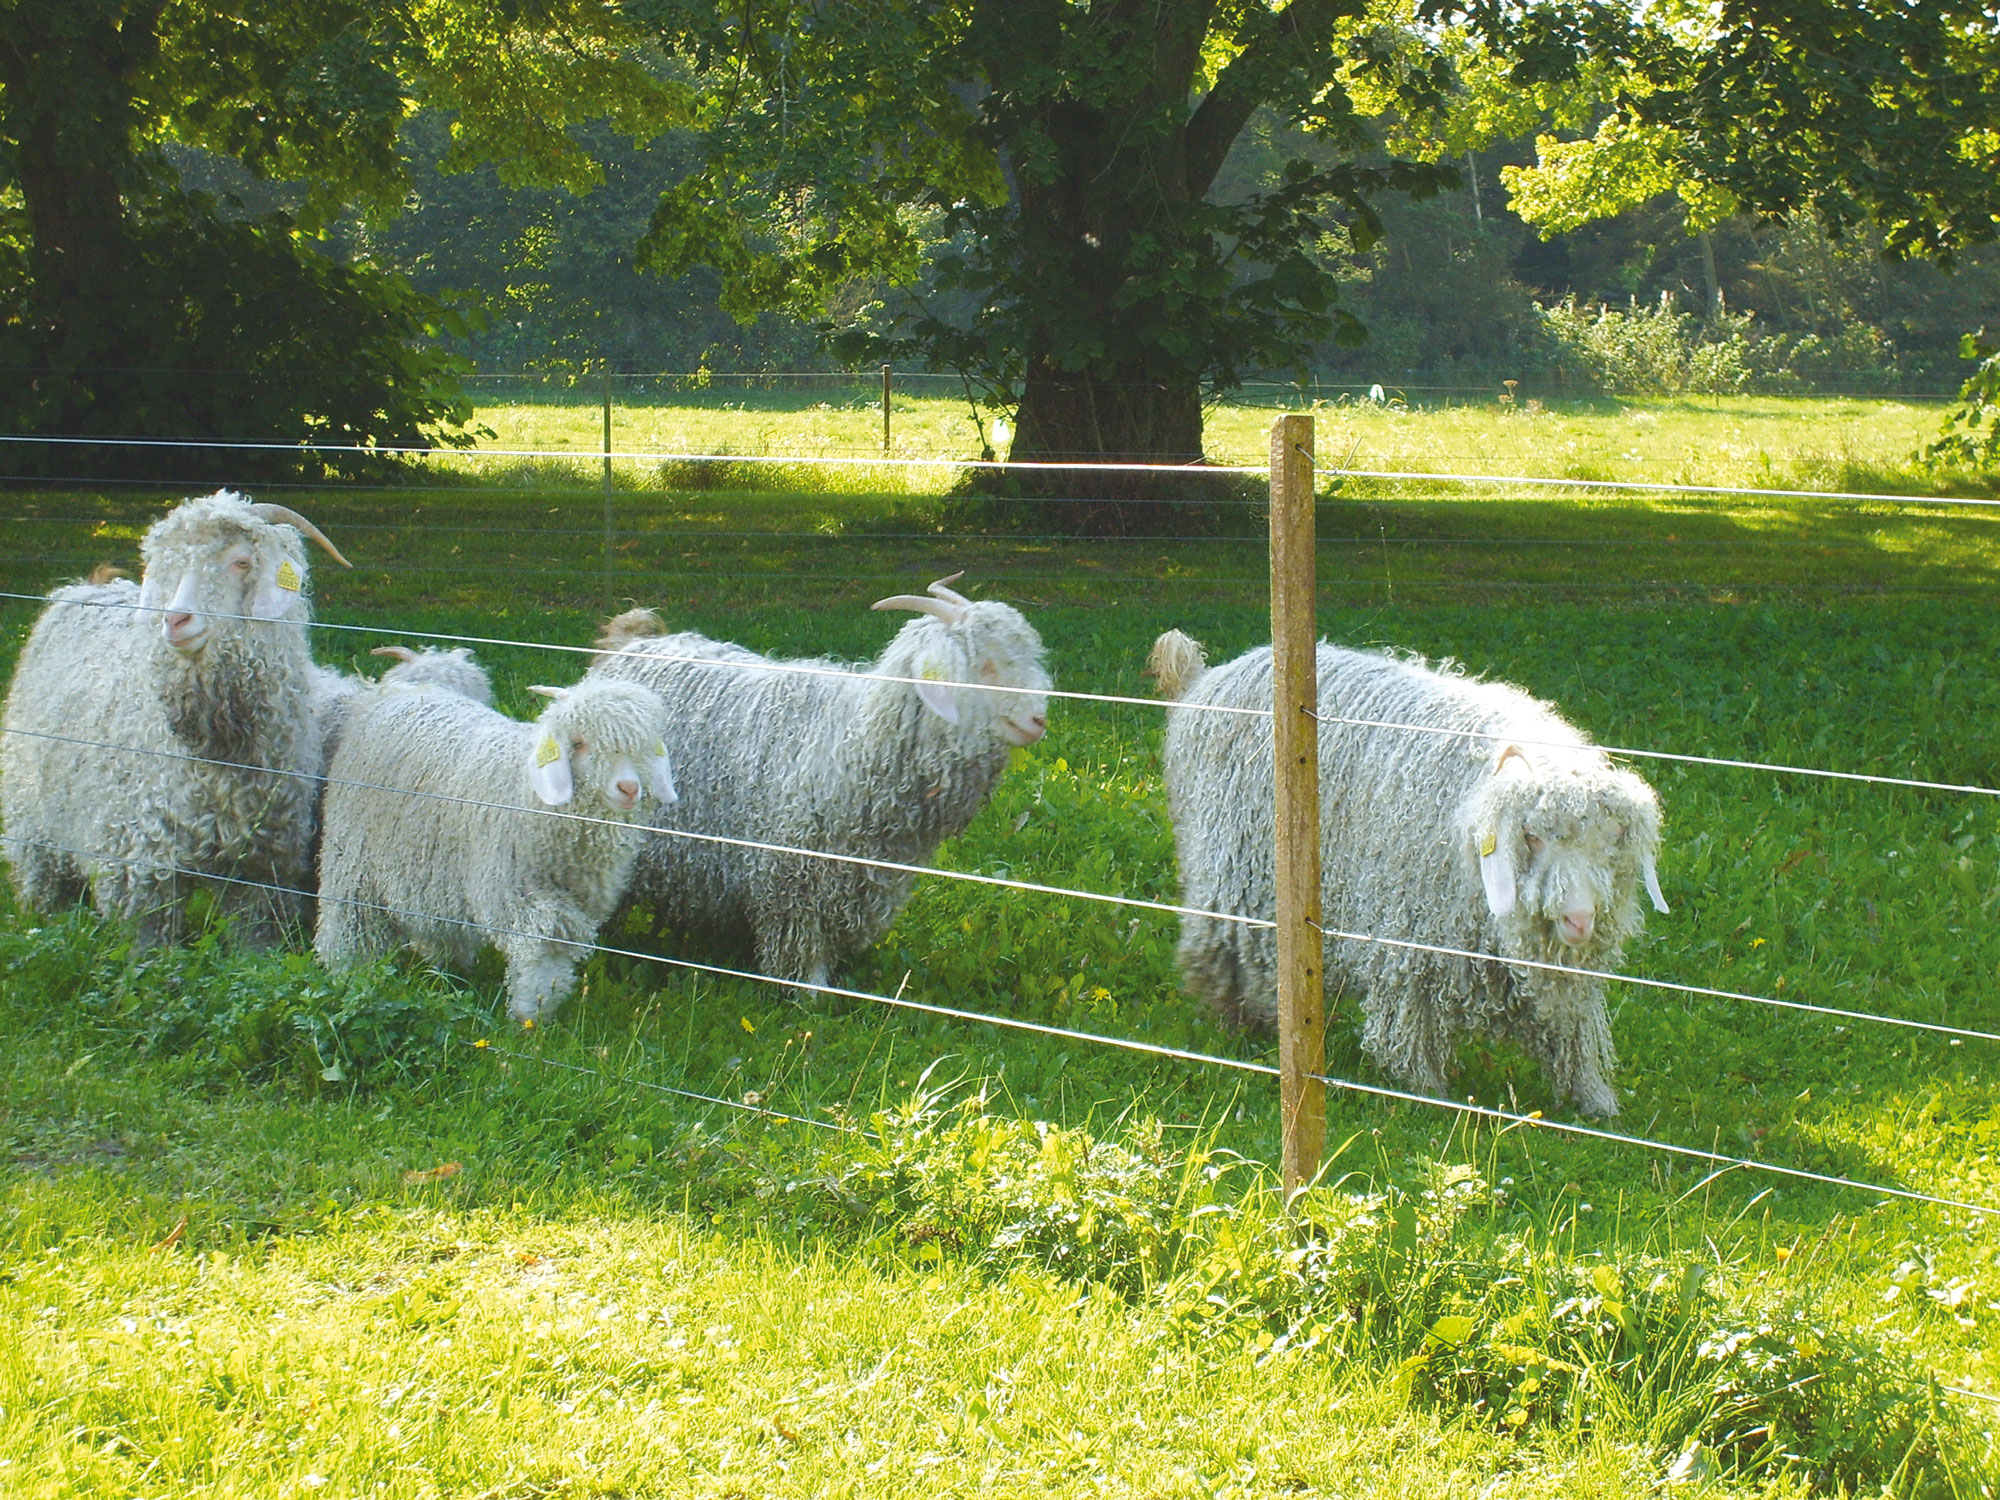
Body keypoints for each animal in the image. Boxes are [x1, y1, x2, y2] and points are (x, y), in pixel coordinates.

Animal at [316, 680, 680, 1024]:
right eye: (578, 743)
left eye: (646, 747)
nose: (628, 788)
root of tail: (386, 693)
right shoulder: (514, 893)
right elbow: (538, 947)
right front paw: (528, 1018)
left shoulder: (576, 902)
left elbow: (558, 950)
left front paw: (542, 1013)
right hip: (353, 856)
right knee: (350, 917)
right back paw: (347, 971)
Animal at [584, 580, 1056, 992]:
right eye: (985, 665)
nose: (1039, 720)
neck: (858, 744)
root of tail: (626, 645)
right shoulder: (794, 875)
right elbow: (800, 946)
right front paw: (810, 992)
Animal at [1152, 632, 1664, 1120]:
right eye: (1533, 837)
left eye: (1611, 840)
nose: (1579, 920)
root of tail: (1202, 680)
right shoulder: (1411, 930)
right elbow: (1411, 1011)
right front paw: (1424, 1088)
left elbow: (1574, 1025)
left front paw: (1593, 1098)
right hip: (1233, 868)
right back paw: (1245, 1026)